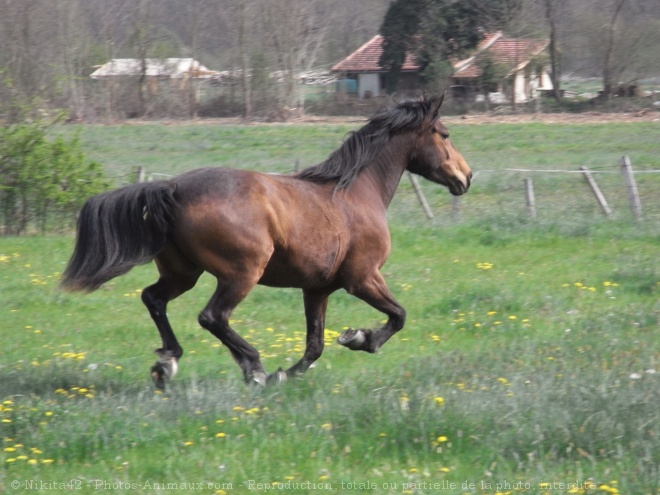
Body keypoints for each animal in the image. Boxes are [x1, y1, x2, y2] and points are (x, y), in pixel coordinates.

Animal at [60, 93, 470, 388]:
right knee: (212, 317)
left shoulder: (317, 289)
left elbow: (315, 345)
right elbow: (398, 316)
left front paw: (287, 373)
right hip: (242, 273)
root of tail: (172, 187)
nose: (466, 177)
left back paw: (167, 363)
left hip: (183, 273)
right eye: (445, 134)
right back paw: (252, 366)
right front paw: (358, 338)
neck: (355, 193)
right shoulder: (363, 278)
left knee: (154, 299)